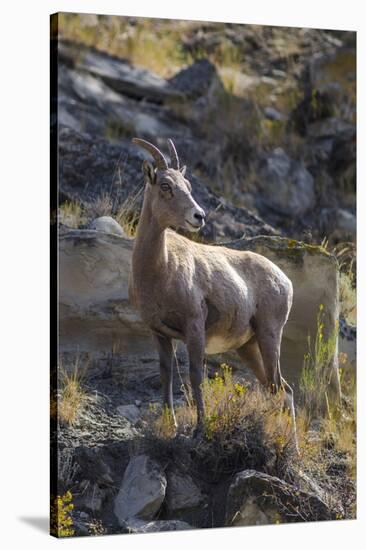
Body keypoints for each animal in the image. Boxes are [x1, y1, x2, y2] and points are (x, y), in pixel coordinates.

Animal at [129, 139, 298, 448]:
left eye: (188, 185)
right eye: (166, 185)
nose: (199, 216)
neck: (160, 269)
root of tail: (285, 281)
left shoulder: (194, 327)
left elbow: (196, 377)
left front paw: (199, 430)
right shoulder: (159, 333)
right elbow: (166, 376)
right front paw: (170, 426)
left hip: (269, 336)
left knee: (282, 389)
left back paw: (291, 447)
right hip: (248, 347)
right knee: (277, 389)